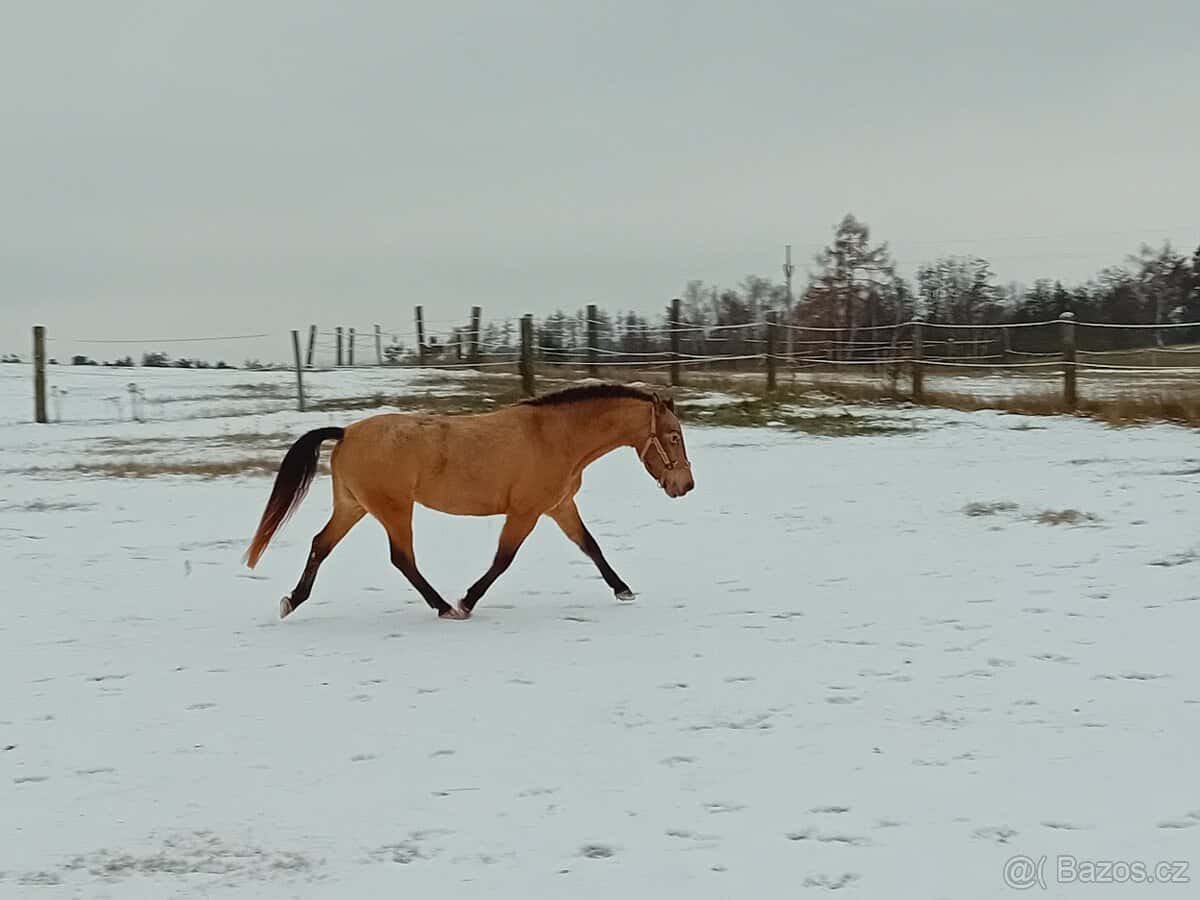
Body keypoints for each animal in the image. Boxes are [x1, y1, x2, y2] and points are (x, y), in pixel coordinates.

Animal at [244, 383, 695, 620]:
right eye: (673, 436)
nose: (686, 486)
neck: (555, 437)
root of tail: (347, 432)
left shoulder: (558, 507)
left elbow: (591, 547)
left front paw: (623, 590)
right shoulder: (526, 511)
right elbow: (503, 559)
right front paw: (466, 601)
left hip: (354, 505)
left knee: (321, 544)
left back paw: (291, 600)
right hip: (393, 508)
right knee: (401, 558)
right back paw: (444, 606)